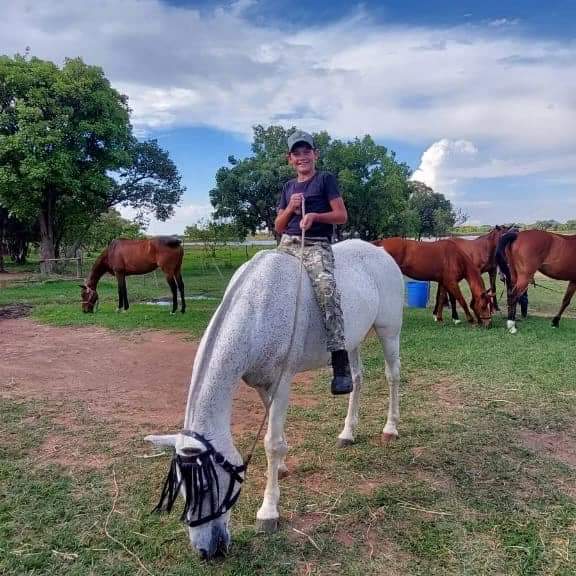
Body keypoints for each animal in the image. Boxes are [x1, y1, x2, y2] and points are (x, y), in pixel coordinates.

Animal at [146, 238, 402, 560]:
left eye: (205, 486)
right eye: (182, 490)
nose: (206, 551)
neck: (257, 308)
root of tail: (380, 252)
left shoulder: (281, 382)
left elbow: (272, 443)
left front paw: (268, 512)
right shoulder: (261, 384)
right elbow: (274, 434)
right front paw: (280, 469)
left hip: (389, 331)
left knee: (392, 375)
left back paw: (390, 429)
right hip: (352, 341)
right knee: (356, 379)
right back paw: (347, 433)